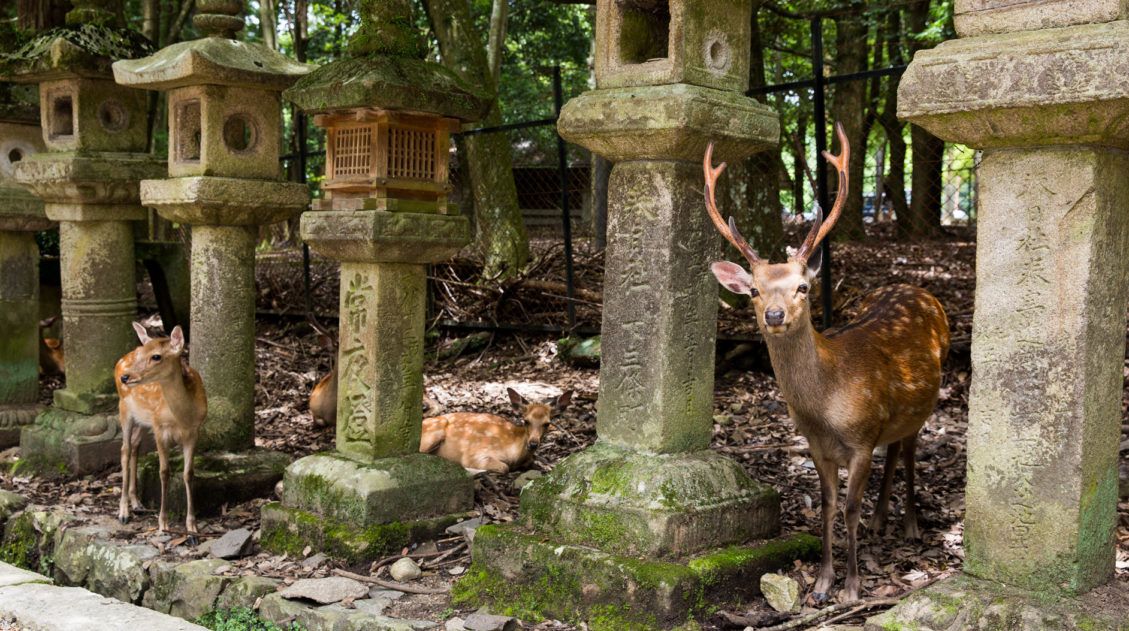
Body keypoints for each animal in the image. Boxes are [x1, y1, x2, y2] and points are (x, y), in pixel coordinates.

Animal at [114, 323, 207, 540]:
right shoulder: (159, 429)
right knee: (124, 449)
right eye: (141, 354)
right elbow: (164, 472)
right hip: (124, 409)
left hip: (142, 420)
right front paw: (163, 524)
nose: (125, 377)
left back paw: (137, 503)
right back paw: (123, 512)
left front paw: (192, 528)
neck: (183, 416)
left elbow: (189, 473)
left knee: (135, 446)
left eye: (156, 356)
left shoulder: (194, 432)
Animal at [703, 123, 950, 604]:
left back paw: (910, 525)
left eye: (802, 287)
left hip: (925, 403)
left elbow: (849, 507)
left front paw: (852, 587)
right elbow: (828, 506)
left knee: (910, 449)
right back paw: (880, 521)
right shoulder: (817, 446)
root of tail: (919, 289)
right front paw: (821, 583)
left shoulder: (861, 439)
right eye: (755, 290)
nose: (774, 315)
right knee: (895, 448)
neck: (826, 407)